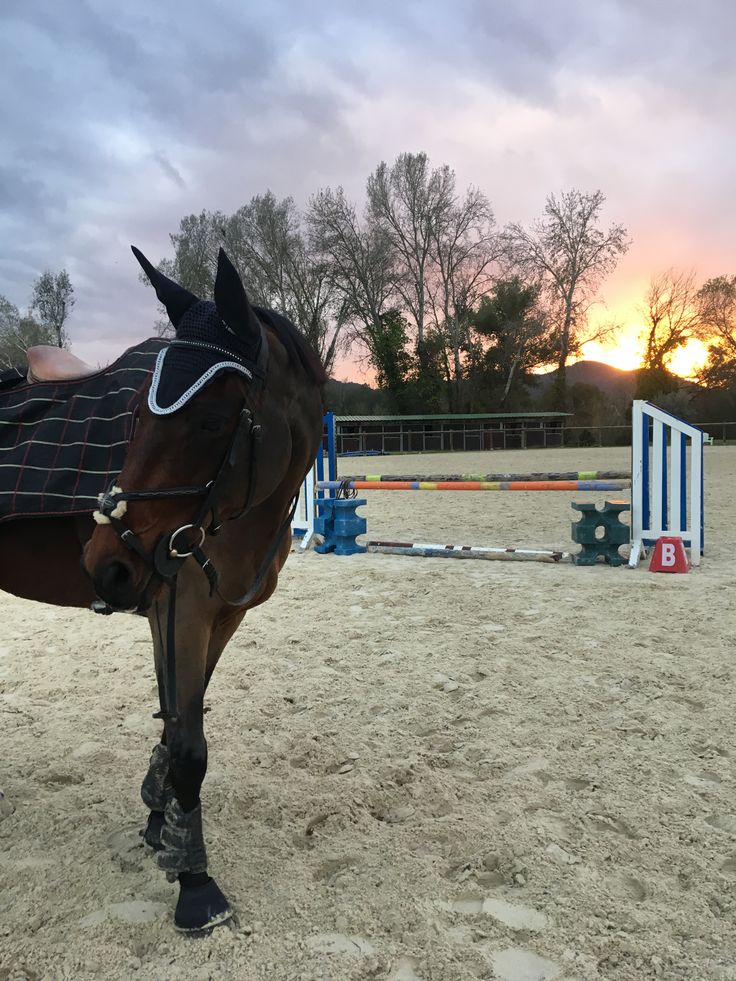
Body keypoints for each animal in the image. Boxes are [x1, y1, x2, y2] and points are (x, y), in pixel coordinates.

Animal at [0, 249, 324, 932]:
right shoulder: (181, 606)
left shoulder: (213, 612)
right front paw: (195, 883)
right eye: (135, 417)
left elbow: (180, 717)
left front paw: (161, 819)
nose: (106, 565)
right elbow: (189, 745)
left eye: (211, 420)